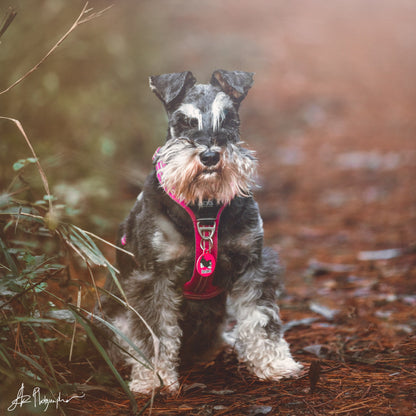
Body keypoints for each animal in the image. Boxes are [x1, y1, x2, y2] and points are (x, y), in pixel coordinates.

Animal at [101, 70, 302, 394]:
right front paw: (155, 379)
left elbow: (261, 319)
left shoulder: (253, 265)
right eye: (184, 122)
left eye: (230, 119)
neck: (204, 207)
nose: (209, 156)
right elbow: (154, 333)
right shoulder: (153, 277)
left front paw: (275, 364)